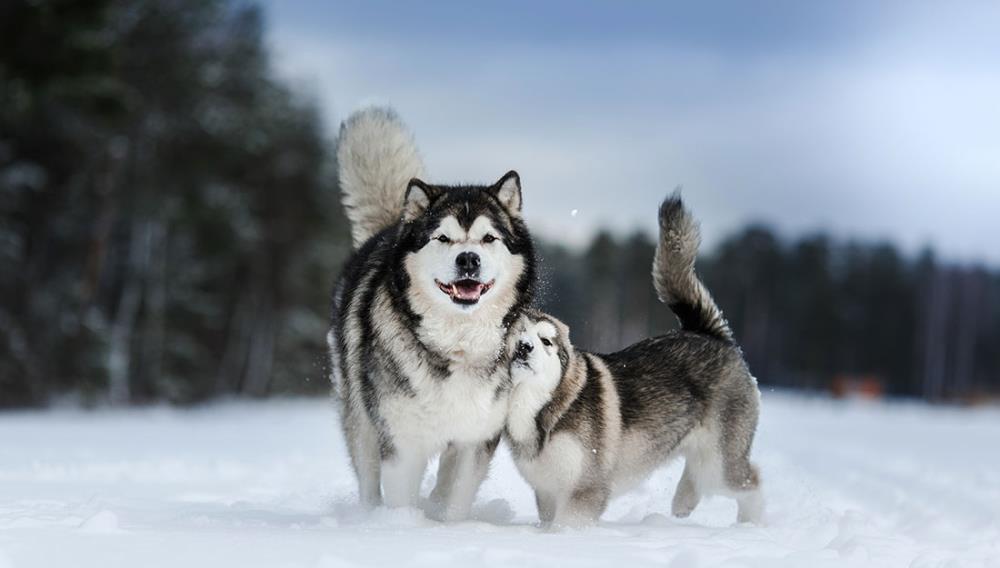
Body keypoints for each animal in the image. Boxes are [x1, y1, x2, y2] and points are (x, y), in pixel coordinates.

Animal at [328, 107, 536, 520]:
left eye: (489, 238)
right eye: (442, 237)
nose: (468, 259)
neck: (457, 341)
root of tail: (392, 225)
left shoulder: (475, 439)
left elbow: (454, 500)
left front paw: (445, 525)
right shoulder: (401, 442)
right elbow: (399, 495)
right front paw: (404, 525)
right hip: (361, 421)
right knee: (366, 472)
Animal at [504, 195, 760, 528]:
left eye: (546, 341)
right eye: (513, 335)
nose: (525, 347)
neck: (540, 406)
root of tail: (708, 333)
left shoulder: (586, 490)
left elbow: (566, 524)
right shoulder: (546, 491)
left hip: (720, 461)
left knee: (751, 482)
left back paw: (752, 524)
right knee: (698, 479)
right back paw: (683, 504)